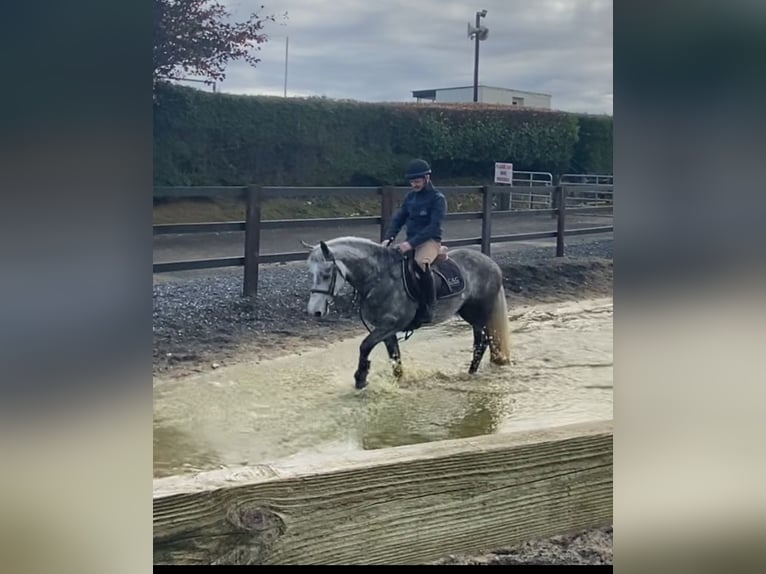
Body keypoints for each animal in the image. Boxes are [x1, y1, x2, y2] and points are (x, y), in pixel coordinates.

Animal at [304, 235, 510, 392]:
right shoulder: (385, 330)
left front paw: (361, 378)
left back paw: (470, 374)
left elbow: (364, 346)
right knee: (485, 342)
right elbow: (395, 358)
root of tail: (491, 263)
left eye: (326, 274)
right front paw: (399, 381)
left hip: (477, 316)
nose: (315, 311)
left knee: (481, 344)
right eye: (311, 273)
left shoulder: (390, 325)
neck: (380, 278)